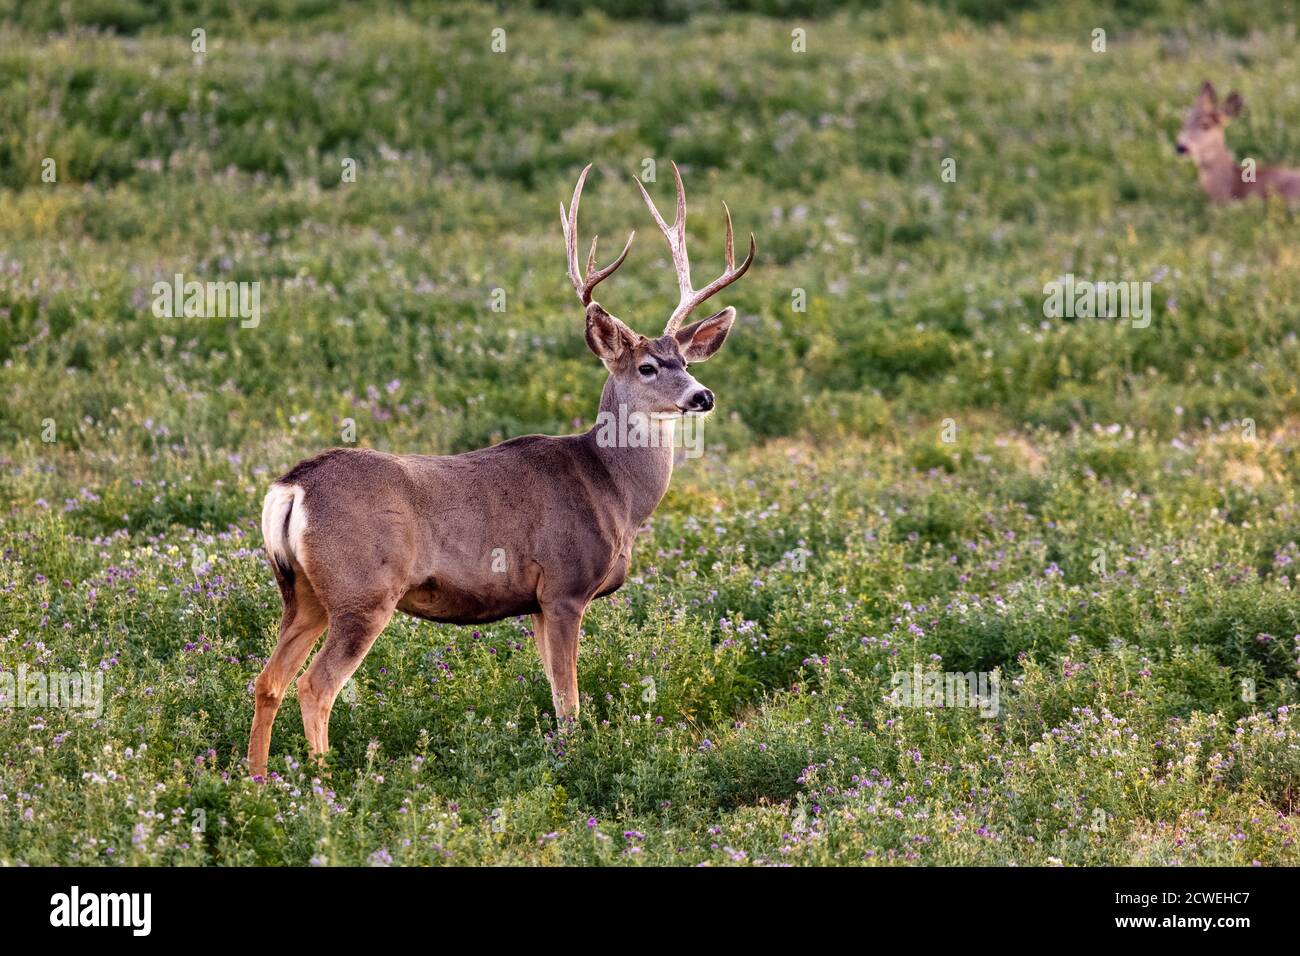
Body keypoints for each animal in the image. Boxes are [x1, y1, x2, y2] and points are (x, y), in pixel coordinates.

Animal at [245, 162, 754, 780]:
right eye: (648, 367)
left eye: (685, 361)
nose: (703, 396)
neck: (613, 492)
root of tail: (293, 486)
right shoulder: (564, 586)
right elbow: (568, 700)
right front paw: (572, 761)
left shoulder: (534, 603)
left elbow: (554, 692)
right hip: (362, 591)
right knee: (315, 686)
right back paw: (324, 785)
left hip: (304, 592)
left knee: (267, 680)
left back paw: (257, 782)